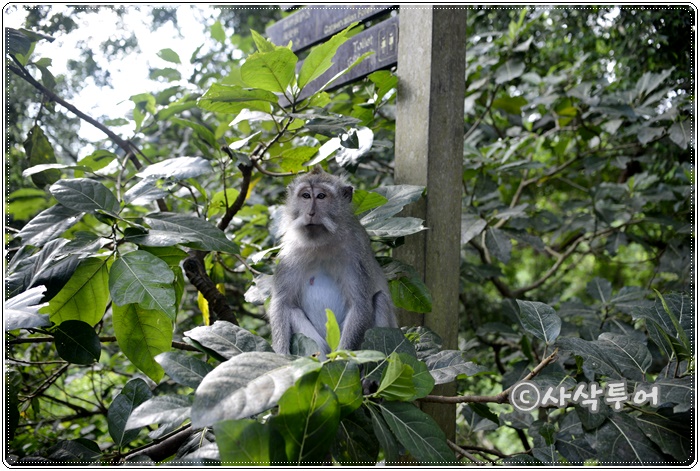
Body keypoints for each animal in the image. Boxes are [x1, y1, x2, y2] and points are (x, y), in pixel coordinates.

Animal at [268, 165, 397, 356]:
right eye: (305, 196)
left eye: (321, 196)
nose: (311, 213)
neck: (321, 244)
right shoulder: (290, 254)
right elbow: (281, 302)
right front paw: (281, 354)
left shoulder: (356, 251)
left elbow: (360, 305)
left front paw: (343, 357)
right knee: (293, 312)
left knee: (380, 299)